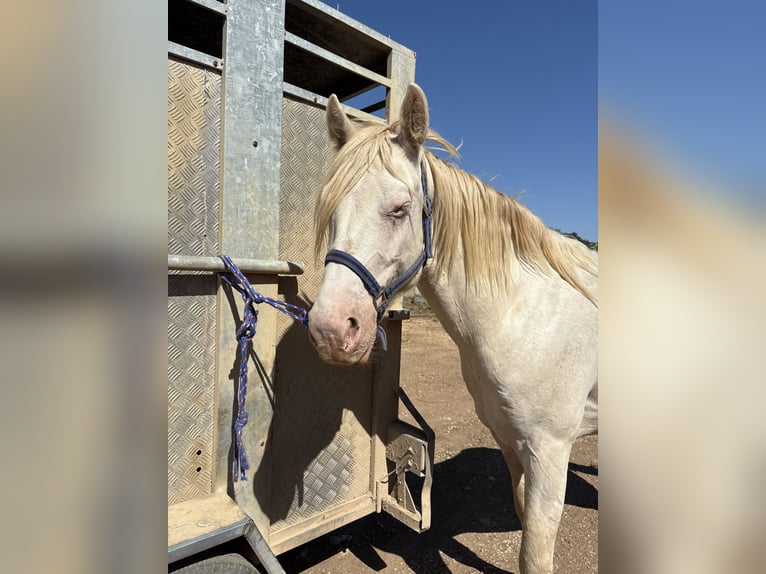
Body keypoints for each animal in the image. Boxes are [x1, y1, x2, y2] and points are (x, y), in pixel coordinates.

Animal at [307, 84, 598, 574]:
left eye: (400, 209)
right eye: (330, 210)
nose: (330, 330)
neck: (524, 315)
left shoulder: (551, 451)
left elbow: (535, 553)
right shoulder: (509, 440)